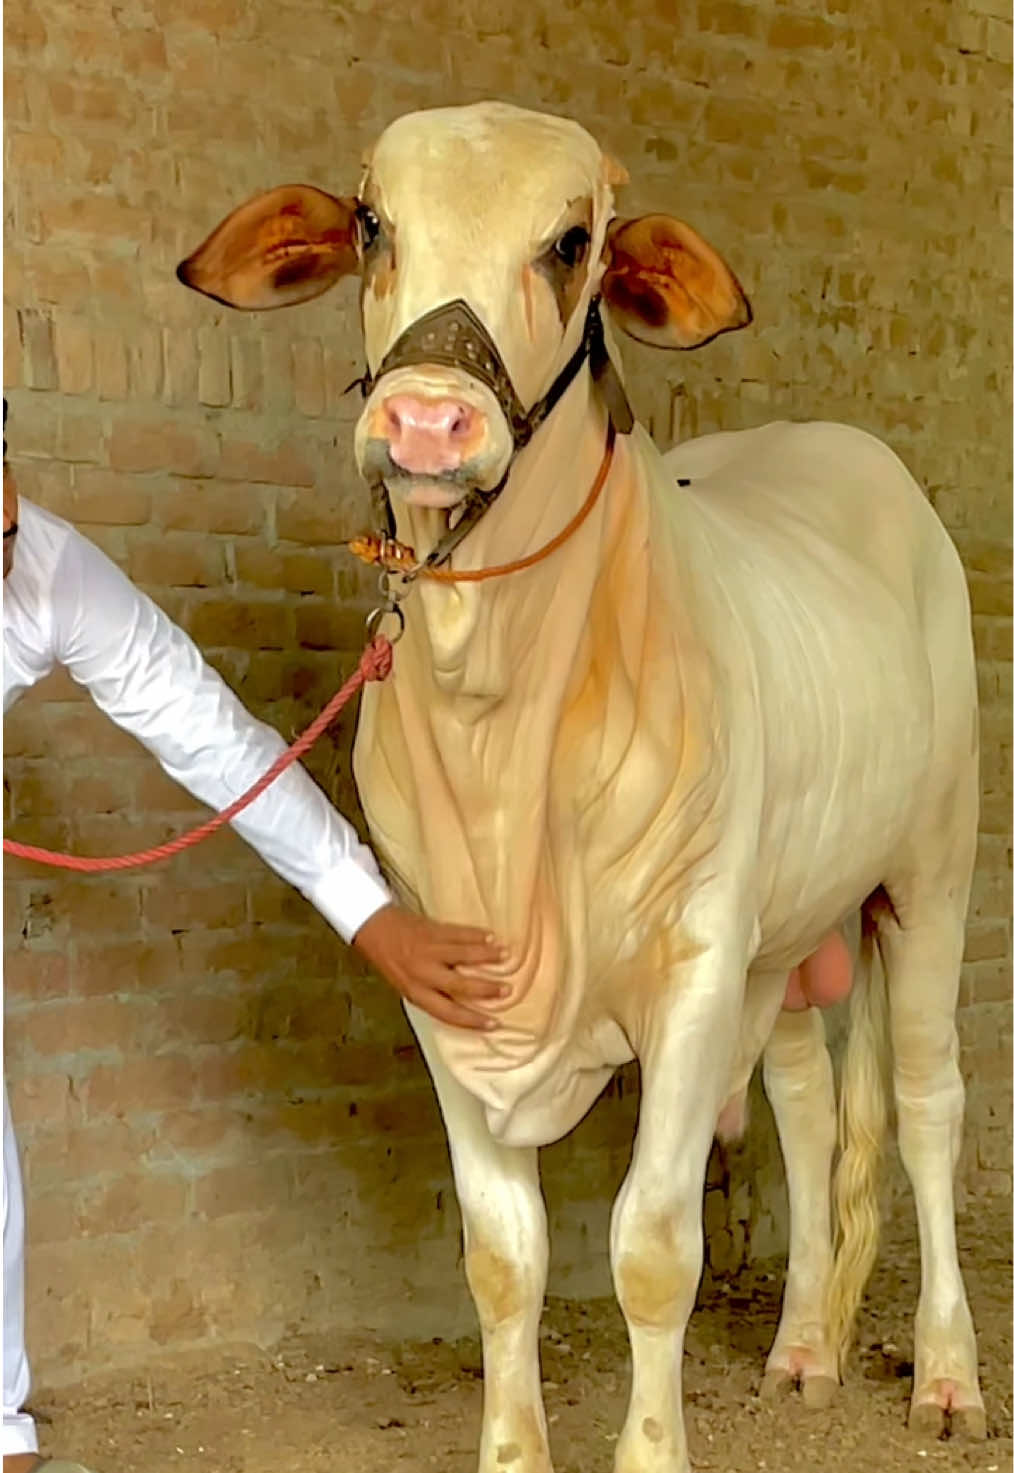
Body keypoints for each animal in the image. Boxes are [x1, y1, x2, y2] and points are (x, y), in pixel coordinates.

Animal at [178, 101, 984, 1473]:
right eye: (372, 223)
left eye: (571, 244)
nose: (428, 422)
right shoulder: (445, 982)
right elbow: (503, 1259)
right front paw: (513, 1450)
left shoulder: (694, 967)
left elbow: (653, 1252)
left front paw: (653, 1447)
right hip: (783, 934)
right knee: (813, 1104)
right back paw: (804, 1350)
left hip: (932, 871)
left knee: (930, 1103)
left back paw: (944, 1373)